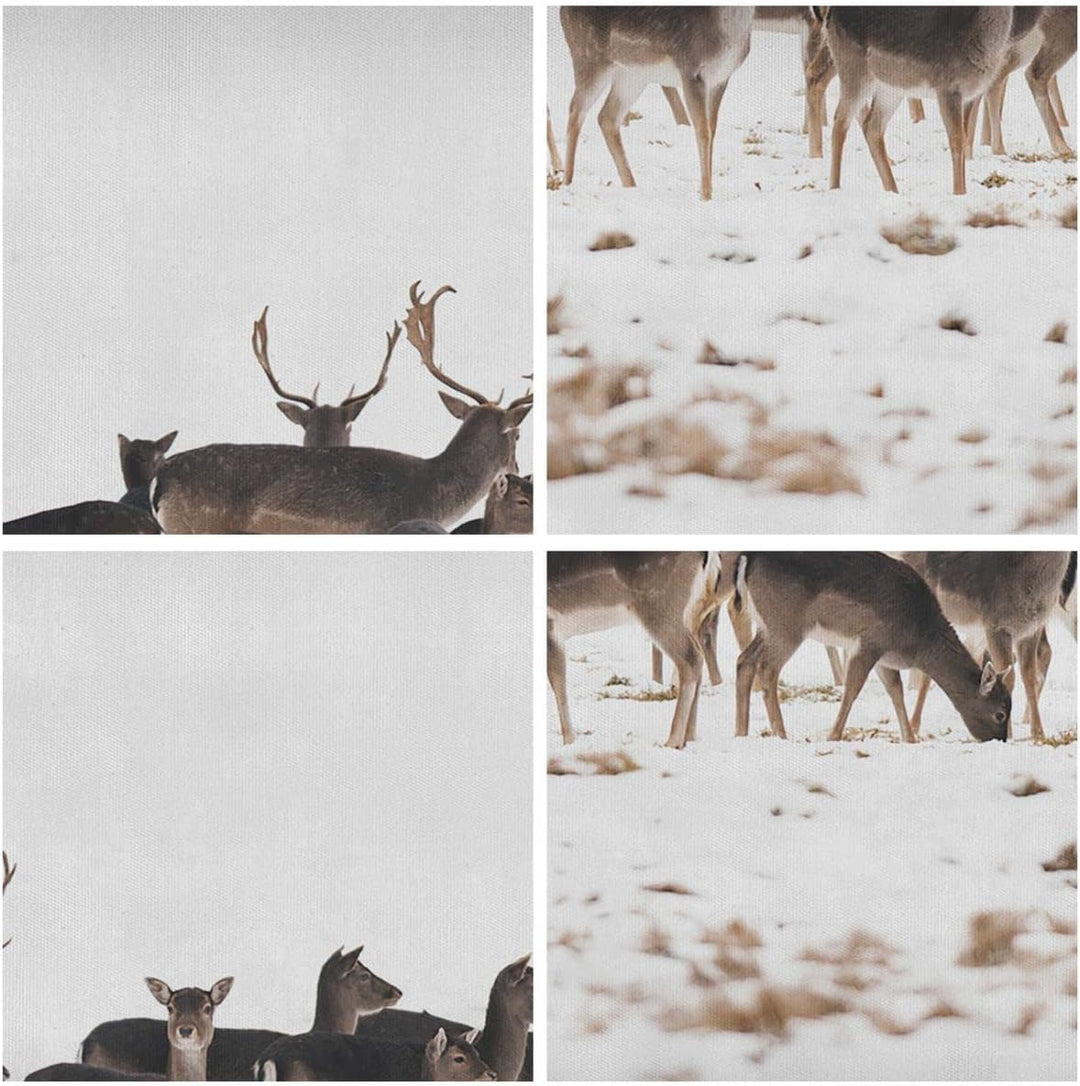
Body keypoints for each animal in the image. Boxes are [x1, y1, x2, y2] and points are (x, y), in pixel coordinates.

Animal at [548, 552, 726, 749]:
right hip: (689, 607)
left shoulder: (550, 624)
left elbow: (557, 684)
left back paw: (672, 741)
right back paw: (689, 737)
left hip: (661, 606)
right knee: (697, 655)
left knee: (691, 657)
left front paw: (569, 741)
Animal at [559, 7, 753, 200]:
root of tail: (563, 10)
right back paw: (567, 182)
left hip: (631, 75)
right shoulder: (691, 70)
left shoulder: (720, 79)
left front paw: (707, 192)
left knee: (607, 117)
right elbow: (702, 132)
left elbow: (712, 130)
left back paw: (631, 186)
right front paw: (705, 196)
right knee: (575, 110)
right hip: (589, 58)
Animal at [732, 552, 1011, 744]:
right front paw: (833, 736)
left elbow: (896, 691)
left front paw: (910, 739)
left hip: (767, 626)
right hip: (786, 627)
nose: (999, 740)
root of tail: (748, 559)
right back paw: (781, 733)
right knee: (767, 668)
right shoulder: (870, 643)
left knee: (744, 660)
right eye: (1000, 713)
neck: (919, 640)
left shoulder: (885, 658)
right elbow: (853, 688)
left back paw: (740, 732)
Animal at [822, 7, 1015, 194]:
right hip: (854, 70)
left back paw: (893, 190)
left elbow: (966, 137)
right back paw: (835, 187)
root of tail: (830, 16)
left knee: (872, 127)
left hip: (890, 88)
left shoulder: (970, 95)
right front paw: (959, 193)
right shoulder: (947, 88)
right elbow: (957, 140)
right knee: (840, 121)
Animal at [902, 552, 1072, 741]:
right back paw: (914, 726)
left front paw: (1038, 734)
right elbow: (1008, 677)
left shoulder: (1031, 630)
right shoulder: (995, 624)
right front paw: (1009, 734)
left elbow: (1029, 676)